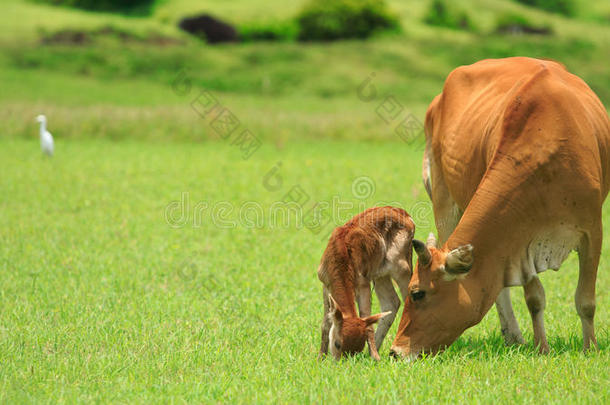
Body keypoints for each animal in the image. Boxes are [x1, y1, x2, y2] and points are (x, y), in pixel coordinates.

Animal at [318, 207, 414, 358]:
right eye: (337, 344)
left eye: (358, 347)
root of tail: (406, 214)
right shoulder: (325, 284)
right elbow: (326, 323)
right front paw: (320, 357)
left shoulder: (363, 284)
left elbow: (367, 321)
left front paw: (375, 357)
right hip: (381, 274)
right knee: (392, 302)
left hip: (402, 267)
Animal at [390, 56, 608, 360]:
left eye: (417, 293)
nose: (395, 351)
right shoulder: (520, 239)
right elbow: (534, 297)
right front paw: (542, 347)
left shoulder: (592, 230)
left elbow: (586, 300)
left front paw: (591, 347)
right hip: (444, 201)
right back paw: (513, 336)